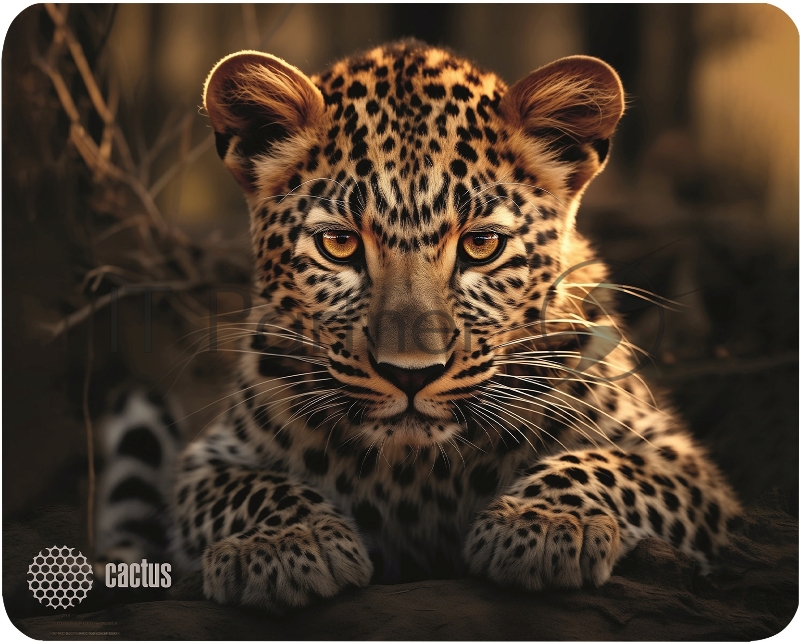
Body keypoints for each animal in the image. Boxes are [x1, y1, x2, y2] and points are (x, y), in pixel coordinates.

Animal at [97, 41, 741, 613]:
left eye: (482, 246)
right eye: (339, 244)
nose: (411, 375)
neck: (418, 469)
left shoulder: (681, 464)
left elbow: (603, 465)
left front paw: (544, 523)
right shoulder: (211, 459)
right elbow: (250, 488)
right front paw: (285, 545)